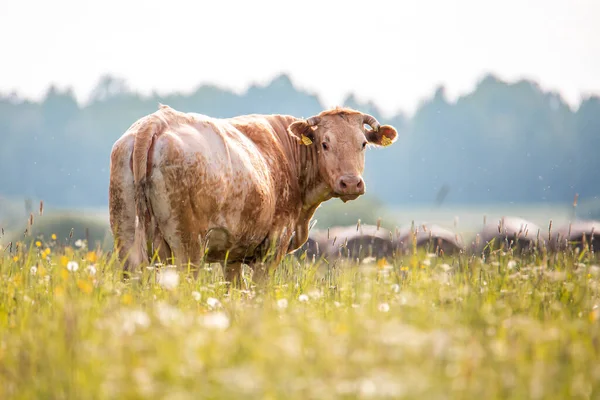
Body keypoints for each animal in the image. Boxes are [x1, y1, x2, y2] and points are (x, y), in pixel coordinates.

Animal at [108, 104, 398, 284]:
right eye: (325, 144)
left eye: (363, 143)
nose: (350, 183)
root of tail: (154, 123)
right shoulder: (273, 246)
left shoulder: (232, 255)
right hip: (186, 248)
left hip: (127, 241)